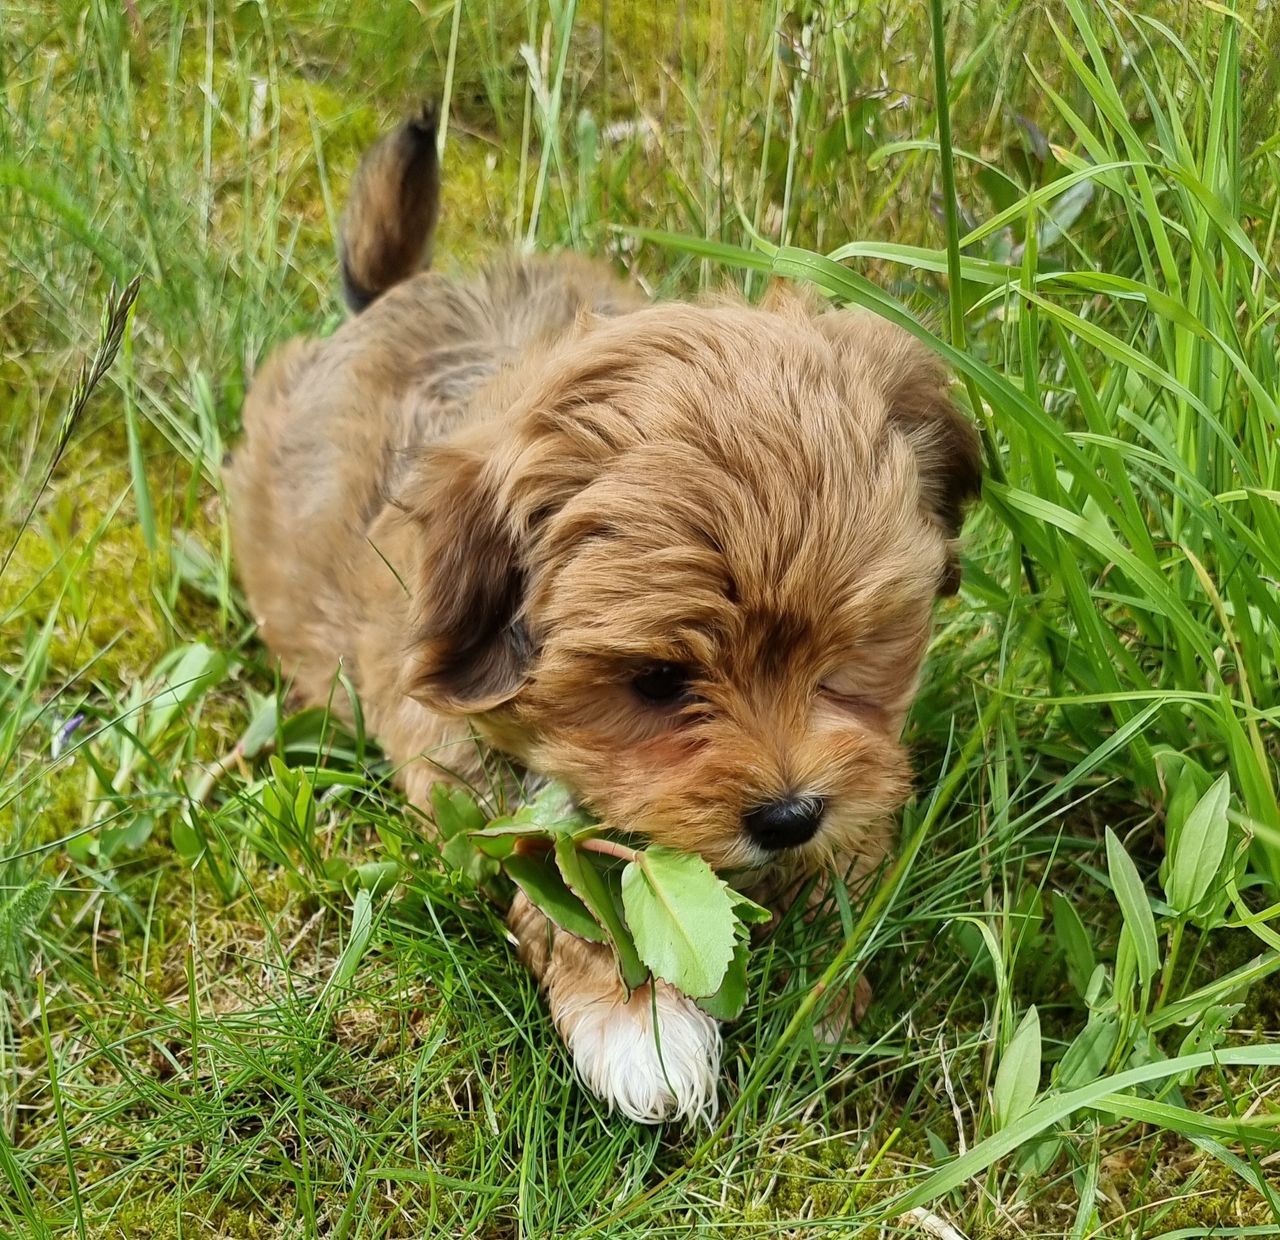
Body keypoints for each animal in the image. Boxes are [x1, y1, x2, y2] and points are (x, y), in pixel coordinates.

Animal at [227, 111, 977, 1120]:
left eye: (848, 657)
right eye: (657, 683)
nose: (788, 816)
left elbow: (858, 828)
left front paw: (827, 954)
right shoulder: (463, 763)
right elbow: (561, 869)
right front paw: (638, 1022)